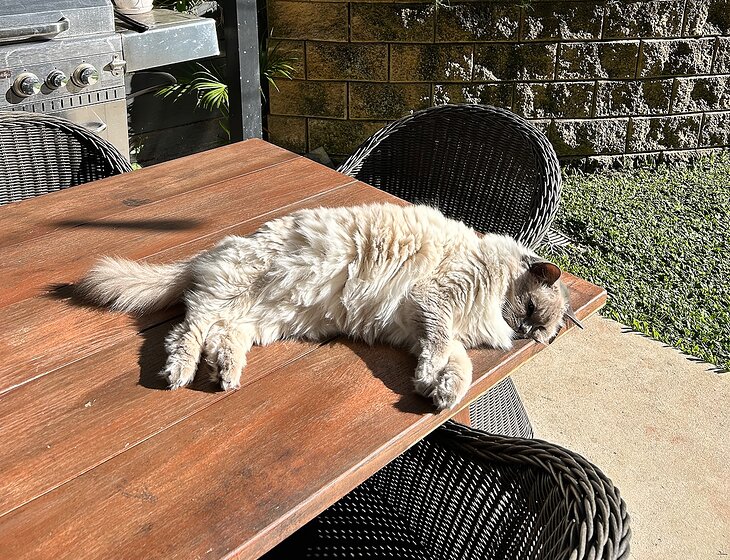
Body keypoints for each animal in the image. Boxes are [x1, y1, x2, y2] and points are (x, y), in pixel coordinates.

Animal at [76, 203, 581, 410]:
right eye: (531, 312)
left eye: (540, 330)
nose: (526, 335)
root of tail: (210, 252)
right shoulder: (436, 304)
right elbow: (441, 352)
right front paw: (427, 382)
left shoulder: (428, 327)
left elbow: (459, 367)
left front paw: (441, 393)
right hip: (232, 293)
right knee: (188, 331)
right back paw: (181, 374)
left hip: (259, 319)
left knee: (221, 338)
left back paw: (225, 376)